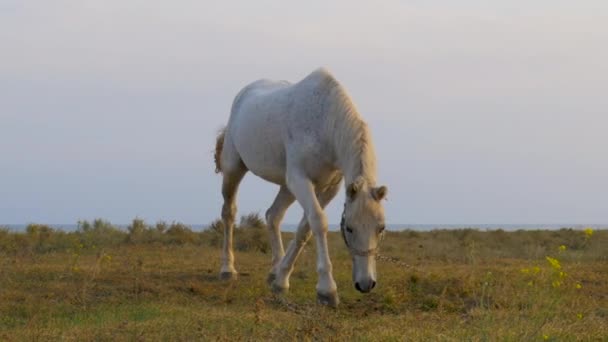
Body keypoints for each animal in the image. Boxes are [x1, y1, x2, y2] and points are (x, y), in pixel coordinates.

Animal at [214, 67, 384, 308]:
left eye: (381, 228)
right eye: (349, 228)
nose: (366, 283)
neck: (324, 123)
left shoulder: (328, 188)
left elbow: (305, 228)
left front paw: (281, 280)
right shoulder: (299, 179)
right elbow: (319, 222)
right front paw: (327, 290)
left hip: (286, 187)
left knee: (273, 216)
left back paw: (274, 271)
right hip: (233, 169)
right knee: (229, 213)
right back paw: (228, 269)